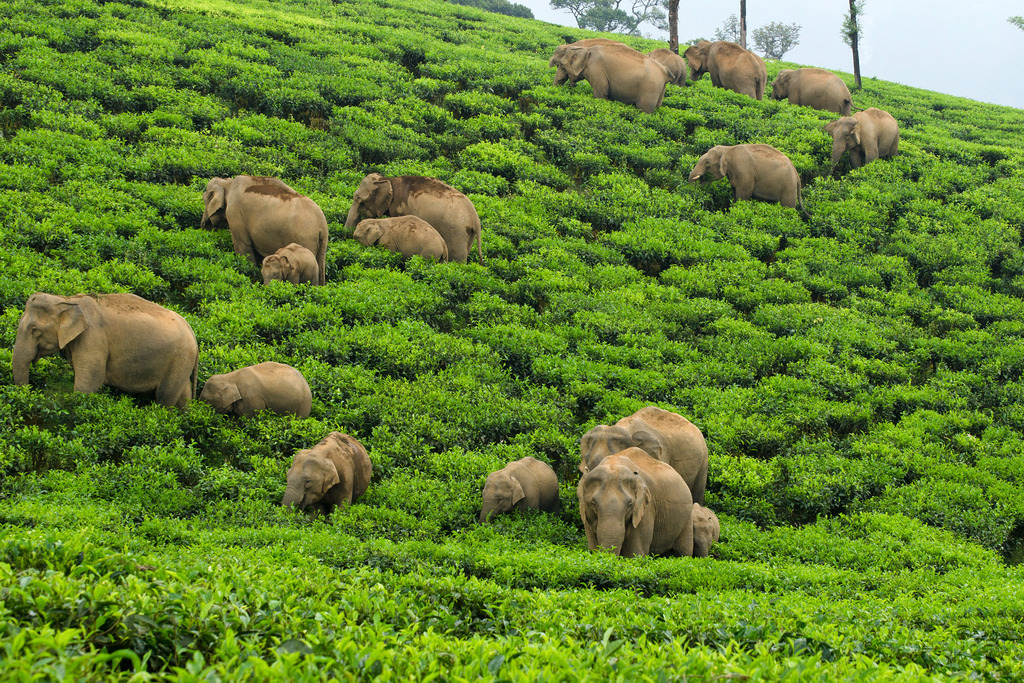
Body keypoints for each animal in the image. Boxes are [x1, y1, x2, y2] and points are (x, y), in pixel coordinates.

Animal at [12, 292, 198, 409]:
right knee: (183, 396)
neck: (66, 299)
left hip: (180, 358)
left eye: (34, 330)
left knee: (164, 397)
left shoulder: (93, 338)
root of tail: (193, 334)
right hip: (182, 362)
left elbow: (90, 381)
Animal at [344, 173, 483, 264]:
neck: (388, 180)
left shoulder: (399, 208)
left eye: (358, 199)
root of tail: (475, 219)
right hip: (467, 235)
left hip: (457, 233)